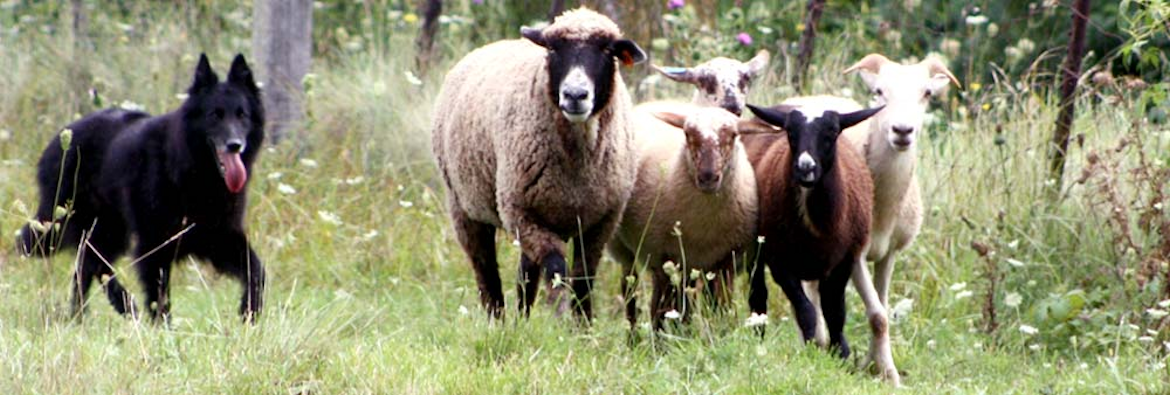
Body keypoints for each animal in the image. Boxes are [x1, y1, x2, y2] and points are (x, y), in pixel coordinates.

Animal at [18, 54, 266, 322]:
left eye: (242, 115)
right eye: (215, 115)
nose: (235, 145)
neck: (191, 170)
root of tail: (60, 139)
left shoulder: (220, 236)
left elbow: (257, 272)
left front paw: (250, 311)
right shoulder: (153, 244)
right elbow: (160, 299)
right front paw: (163, 329)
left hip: (108, 230)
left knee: (86, 266)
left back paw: (83, 315)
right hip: (94, 226)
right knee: (94, 264)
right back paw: (123, 305)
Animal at [432, 6, 650, 320]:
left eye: (608, 50)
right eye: (553, 48)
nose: (574, 95)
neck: (578, 166)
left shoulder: (602, 222)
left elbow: (583, 278)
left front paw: (582, 324)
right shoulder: (520, 211)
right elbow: (557, 268)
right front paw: (559, 318)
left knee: (525, 276)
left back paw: (522, 321)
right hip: (465, 206)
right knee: (486, 272)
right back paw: (497, 321)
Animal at [608, 103, 762, 329]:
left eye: (733, 135)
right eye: (688, 134)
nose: (708, 177)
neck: (704, 226)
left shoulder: (725, 261)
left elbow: (722, 308)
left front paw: (722, 332)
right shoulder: (662, 256)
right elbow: (660, 309)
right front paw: (663, 338)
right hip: (624, 249)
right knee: (632, 291)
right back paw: (634, 334)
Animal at [744, 102, 898, 385]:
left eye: (832, 132)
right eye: (790, 132)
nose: (805, 168)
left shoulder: (844, 261)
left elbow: (835, 312)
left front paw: (841, 355)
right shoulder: (779, 260)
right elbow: (806, 311)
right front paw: (812, 352)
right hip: (755, 251)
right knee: (758, 298)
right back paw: (758, 342)